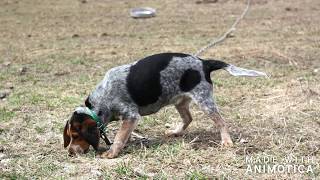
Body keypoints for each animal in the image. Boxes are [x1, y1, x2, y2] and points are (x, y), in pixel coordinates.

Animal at [62, 52, 264, 158]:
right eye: (69, 137)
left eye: (75, 136)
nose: (70, 152)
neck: (101, 100)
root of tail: (204, 63)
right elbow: (123, 135)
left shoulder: (131, 116)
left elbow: (119, 137)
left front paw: (111, 153)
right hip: (180, 101)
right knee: (188, 118)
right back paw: (176, 132)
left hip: (204, 101)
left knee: (221, 121)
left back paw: (226, 141)